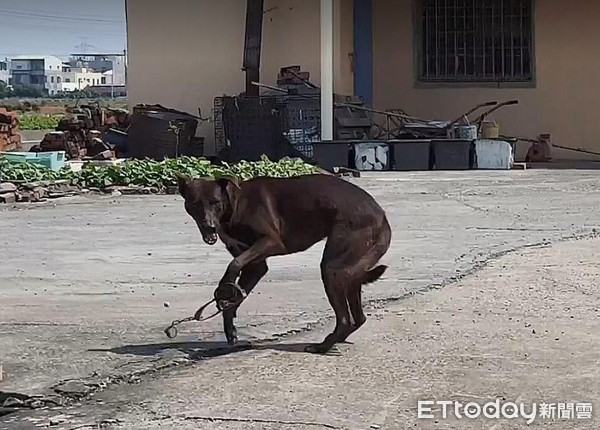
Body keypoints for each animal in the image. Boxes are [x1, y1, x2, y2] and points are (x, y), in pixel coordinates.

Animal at [177, 172, 394, 352]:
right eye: (195, 204)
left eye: (215, 202)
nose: (210, 227)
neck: (235, 203)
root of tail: (381, 215)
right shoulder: (256, 266)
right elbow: (235, 294)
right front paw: (230, 328)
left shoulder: (271, 241)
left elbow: (234, 264)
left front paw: (226, 285)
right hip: (350, 267)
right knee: (359, 317)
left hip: (333, 267)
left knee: (345, 319)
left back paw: (322, 346)